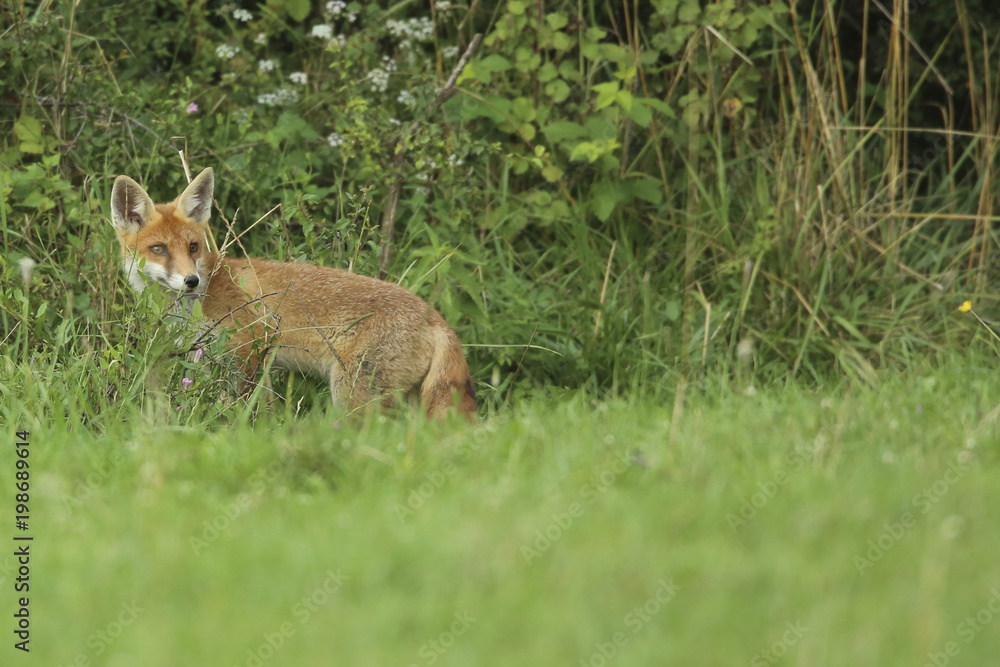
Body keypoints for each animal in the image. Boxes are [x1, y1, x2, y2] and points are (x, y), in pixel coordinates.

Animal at [108, 167, 477, 420]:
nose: (192, 281)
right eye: (159, 249)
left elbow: (248, 412)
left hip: (352, 398)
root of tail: (436, 318)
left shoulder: (250, 347)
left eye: (193, 247)